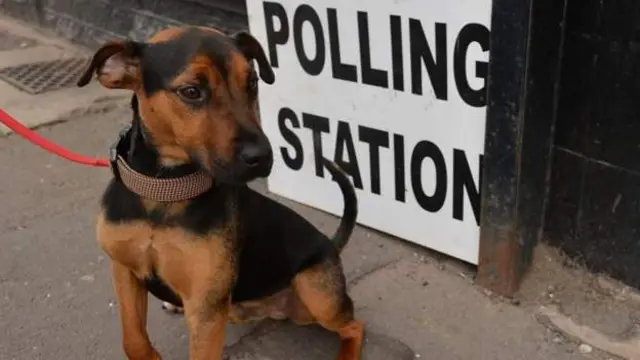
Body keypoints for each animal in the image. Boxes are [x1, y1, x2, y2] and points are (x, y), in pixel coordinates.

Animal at [75, 26, 364, 360]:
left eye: (252, 82)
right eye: (191, 91)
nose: (262, 156)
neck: (164, 193)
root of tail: (331, 245)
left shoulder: (205, 309)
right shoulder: (124, 271)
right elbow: (133, 340)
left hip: (316, 294)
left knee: (355, 326)